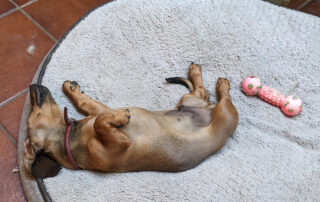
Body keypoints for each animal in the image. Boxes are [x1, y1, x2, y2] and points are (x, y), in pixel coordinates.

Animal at [23, 63, 238, 178]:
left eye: (30, 116)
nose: (32, 87)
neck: (71, 139)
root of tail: (209, 109)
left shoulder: (100, 110)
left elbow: (88, 106)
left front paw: (71, 89)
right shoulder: (119, 142)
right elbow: (101, 123)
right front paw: (122, 116)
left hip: (188, 101)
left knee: (202, 91)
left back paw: (196, 72)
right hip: (225, 113)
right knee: (219, 97)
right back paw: (222, 85)